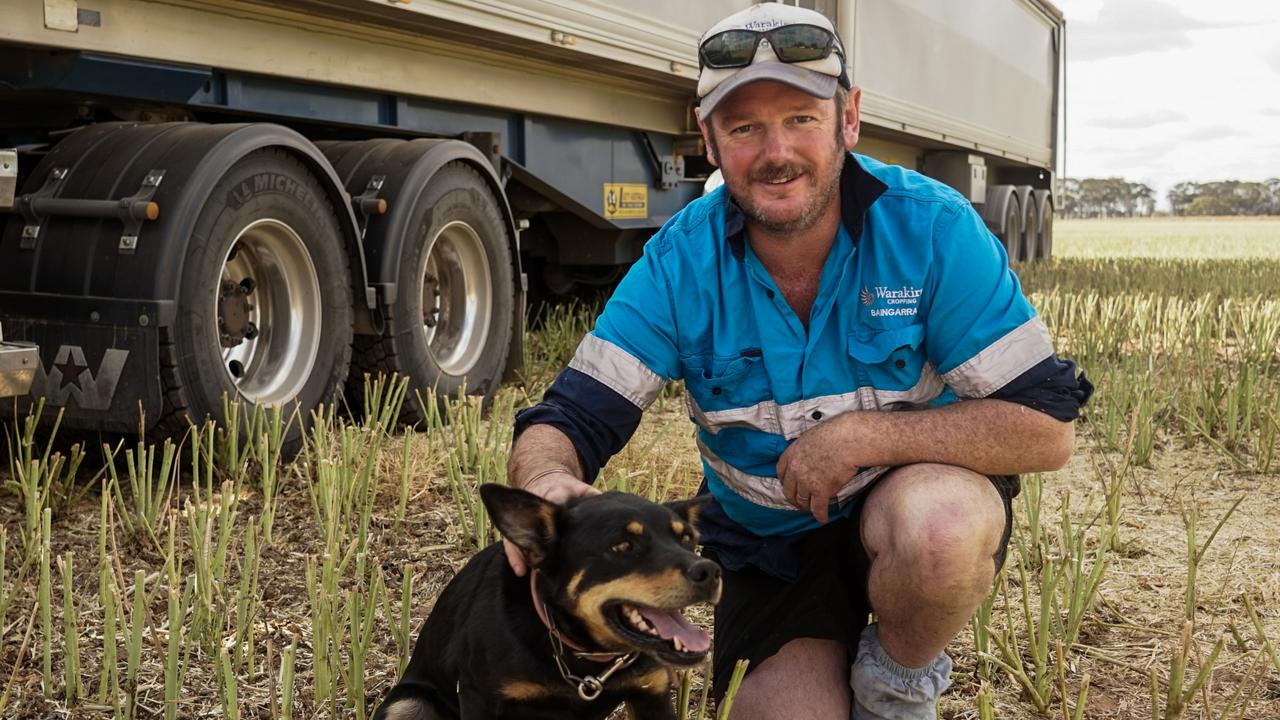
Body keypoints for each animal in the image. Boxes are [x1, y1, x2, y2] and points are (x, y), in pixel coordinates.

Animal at [373, 481, 727, 717]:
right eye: (623, 546)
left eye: (687, 539)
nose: (710, 571)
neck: (583, 654)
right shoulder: (480, 698)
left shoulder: (651, 696)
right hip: (407, 703)